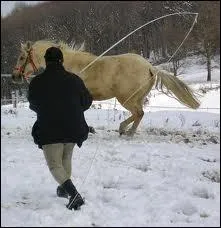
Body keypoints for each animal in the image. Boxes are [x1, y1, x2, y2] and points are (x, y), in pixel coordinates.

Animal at [11, 39, 200, 135]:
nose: (14, 76)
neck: (66, 66)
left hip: (126, 98)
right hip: (137, 98)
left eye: (21, 57)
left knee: (138, 113)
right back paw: (127, 130)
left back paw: (125, 131)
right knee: (139, 114)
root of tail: (150, 67)